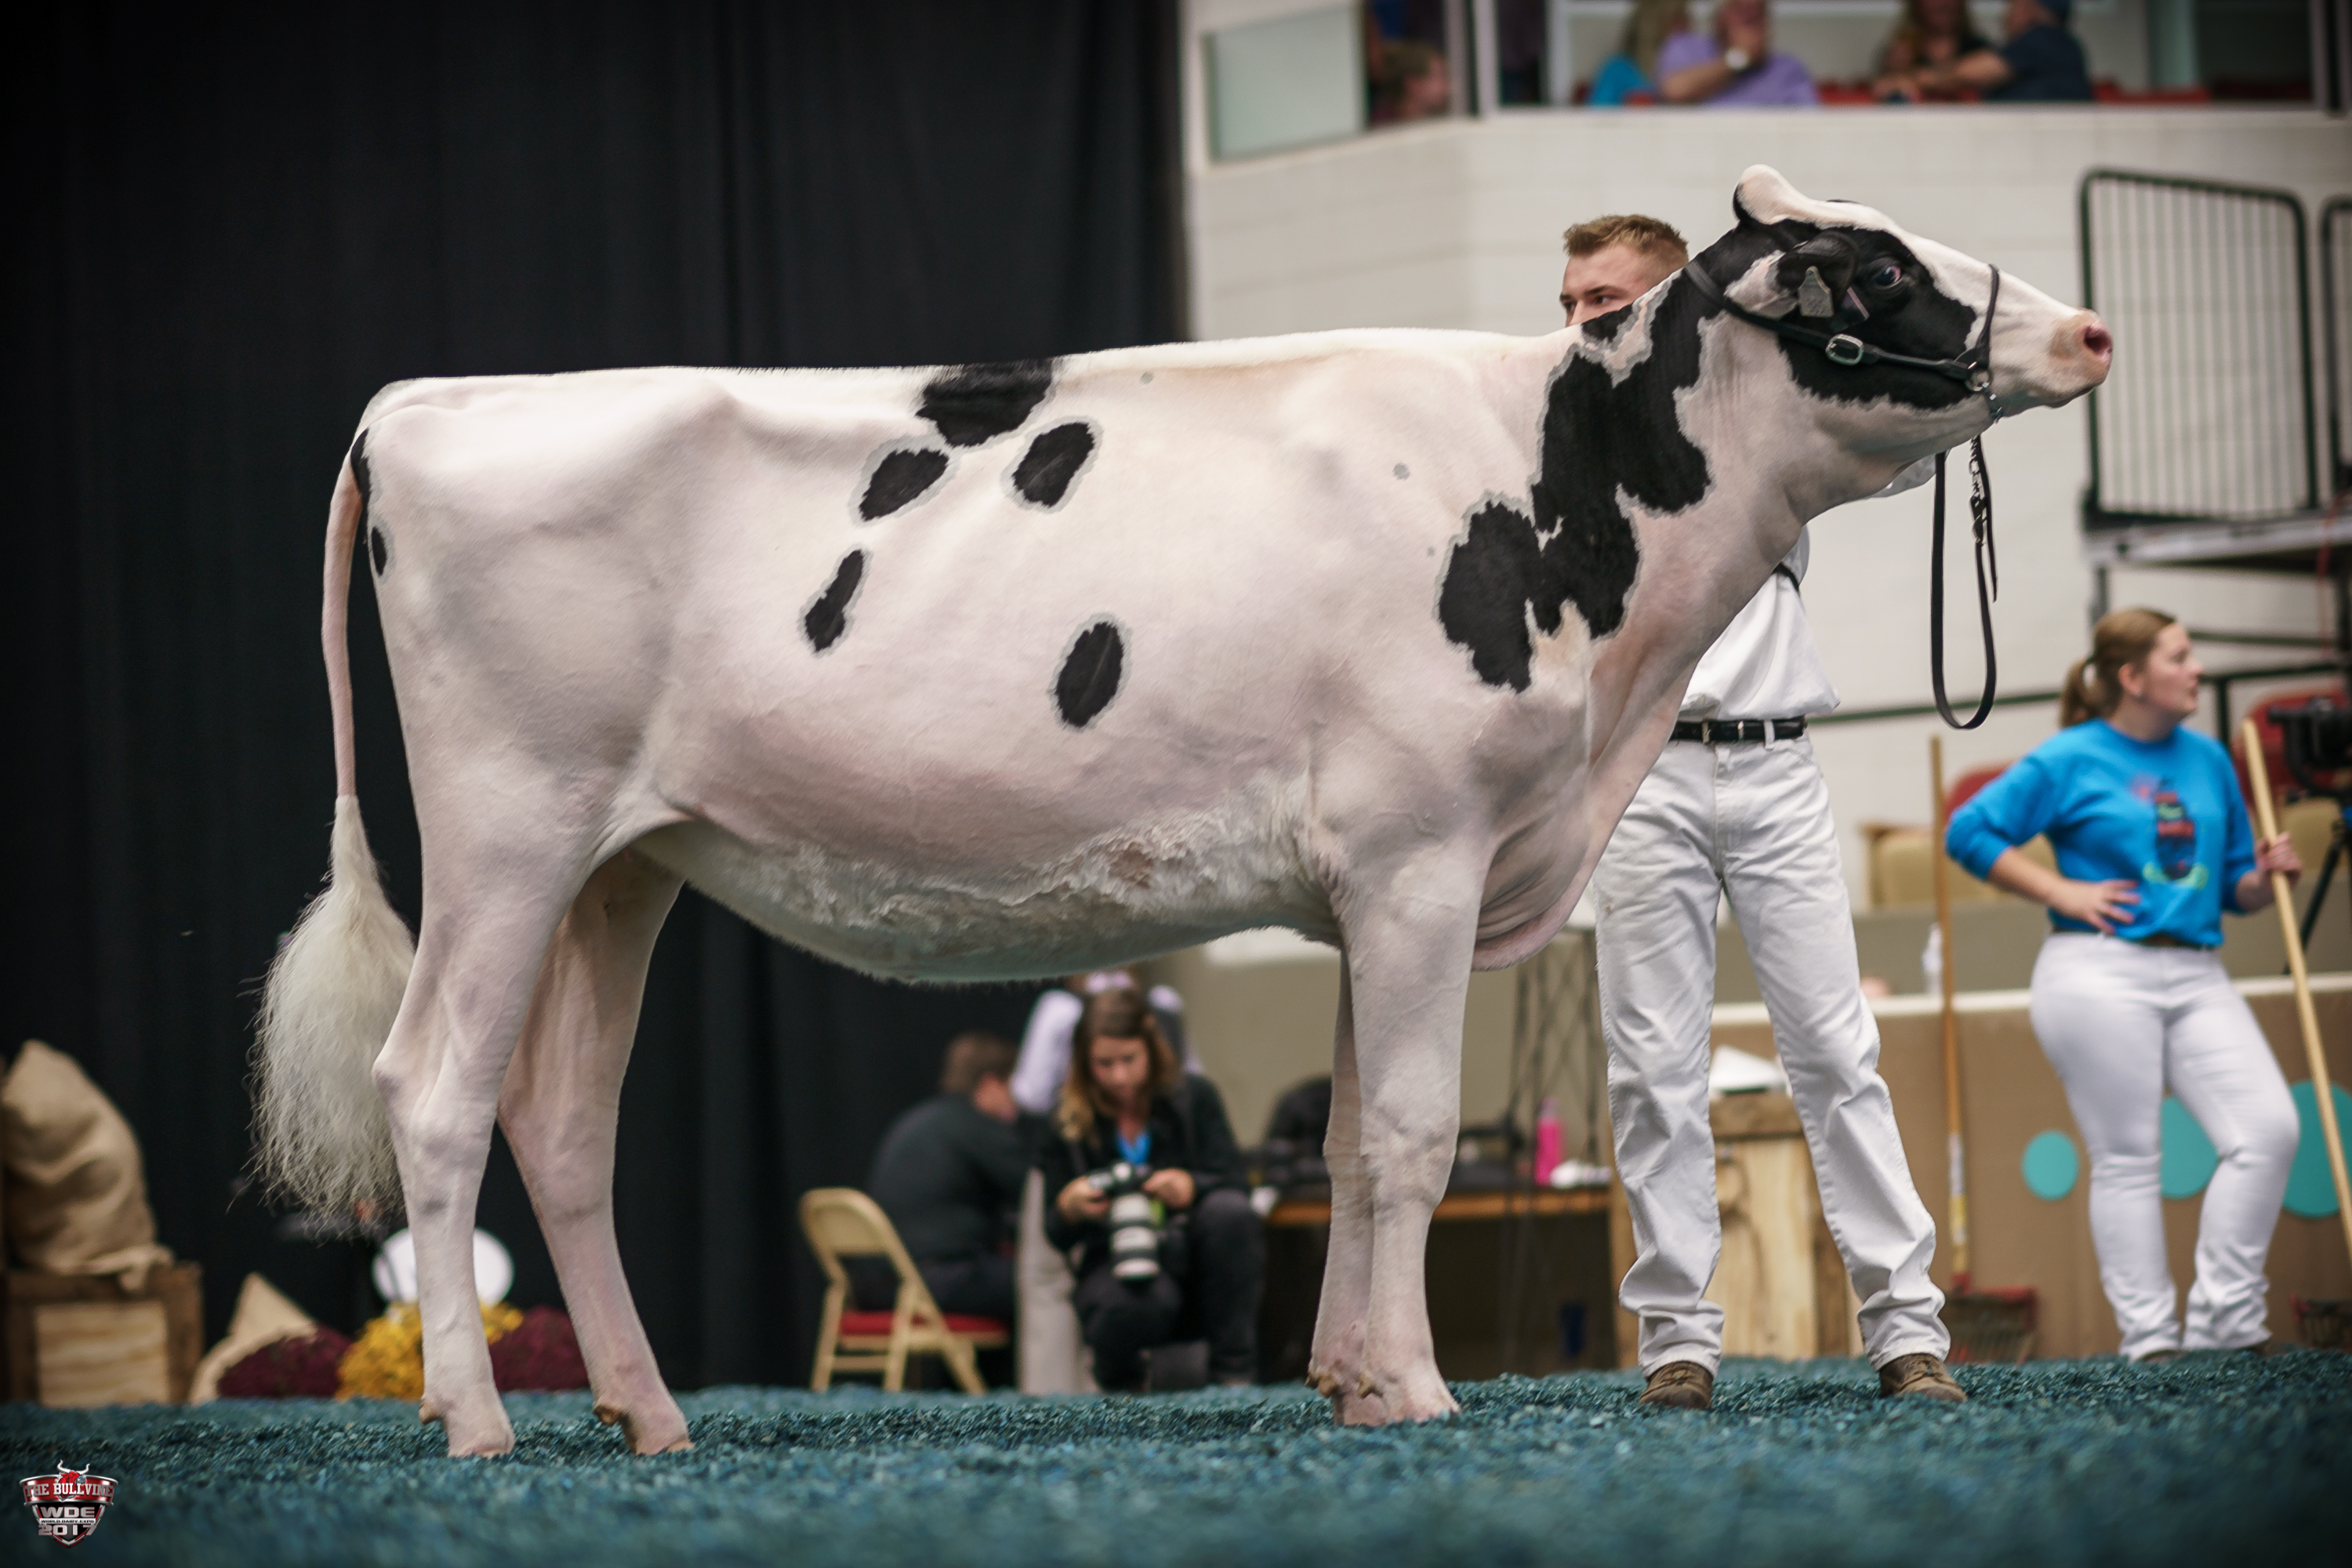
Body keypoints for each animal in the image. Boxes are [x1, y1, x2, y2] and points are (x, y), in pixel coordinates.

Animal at [256, 167, 2110, 1456]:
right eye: (1881, 271)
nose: (2087, 331)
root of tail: (429, 405)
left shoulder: (1369, 880)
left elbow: (1353, 1139)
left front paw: (1353, 1379)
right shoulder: (1426, 855)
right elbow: (1417, 1134)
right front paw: (1424, 1390)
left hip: (618, 865)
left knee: (564, 1126)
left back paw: (647, 1416)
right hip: (505, 829)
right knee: (434, 1092)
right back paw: (475, 1420)